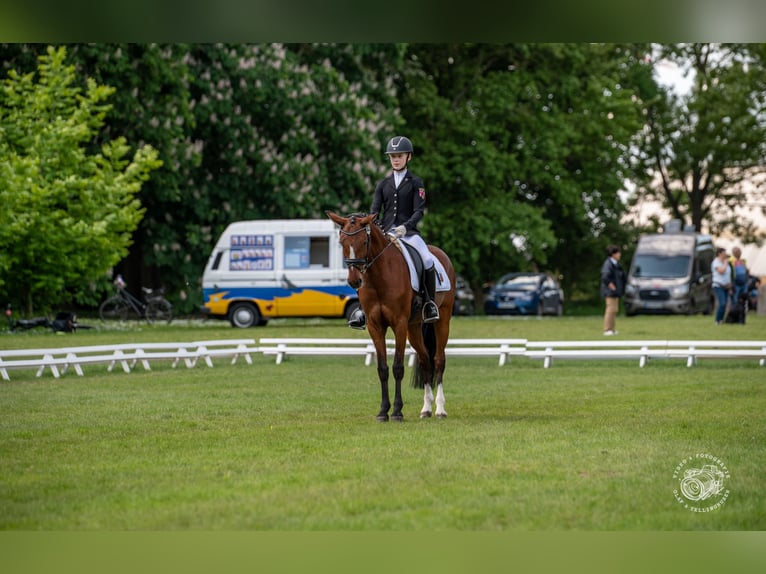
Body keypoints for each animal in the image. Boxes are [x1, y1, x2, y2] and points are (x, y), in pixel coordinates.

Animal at [326, 213, 456, 424]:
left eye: (364, 241)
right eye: (342, 242)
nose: (355, 281)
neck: (379, 276)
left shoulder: (399, 324)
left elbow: (397, 367)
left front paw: (396, 412)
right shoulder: (375, 326)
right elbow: (382, 368)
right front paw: (382, 411)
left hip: (442, 320)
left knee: (438, 360)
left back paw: (440, 409)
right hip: (414, 327)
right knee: (425, 360)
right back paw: (426, 409)